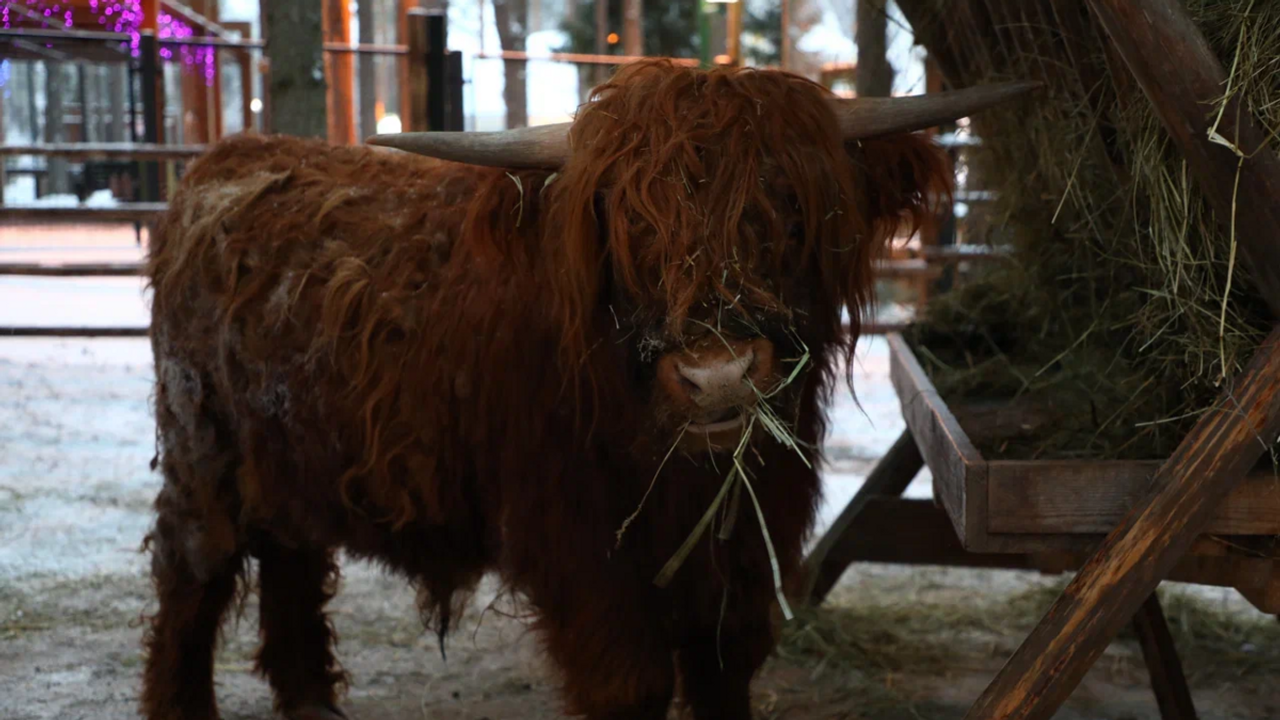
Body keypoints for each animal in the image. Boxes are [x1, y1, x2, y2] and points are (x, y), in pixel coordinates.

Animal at [140, 61, 1034, 717]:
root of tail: (227, 158)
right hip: (201, 454)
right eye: (630, 222)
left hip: (293, 461)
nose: (715, 375)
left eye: (785, 207)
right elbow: (629, 682)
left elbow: (724, 666)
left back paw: (312, 703)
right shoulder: (578, 546)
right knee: (191, 579)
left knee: (289, 561)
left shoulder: (750, 538)